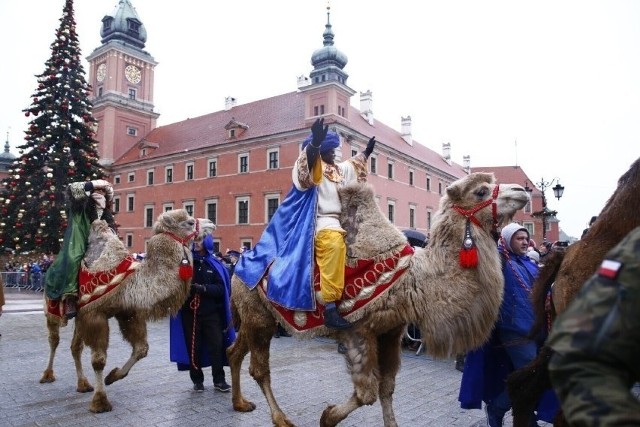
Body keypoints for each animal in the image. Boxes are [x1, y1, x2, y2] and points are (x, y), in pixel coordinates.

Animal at [40, 211, 215, 414]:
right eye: (189, 222)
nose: (211, 223)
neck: (131, 281)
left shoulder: (127, 312)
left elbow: (141, 349)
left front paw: (112, 376)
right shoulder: (94, 315)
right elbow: (99, 360)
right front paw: (100, 402)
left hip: (79, 317)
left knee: (75, 347)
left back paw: (83, 384)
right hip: (52, 309)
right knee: (54, 340)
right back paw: (47, 375)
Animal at [228, 172, 528, 426]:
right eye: (481, 191)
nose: (521, 191)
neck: (412, 280)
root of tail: (238, 268)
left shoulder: (390, 332)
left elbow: (387, 388)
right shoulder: (358, 331)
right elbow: (367, 394)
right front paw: (327, 417)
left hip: (253, 317)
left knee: (234, 352)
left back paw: (240, 403)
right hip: (259, 318)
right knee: (259, 369)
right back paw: (280, 418)